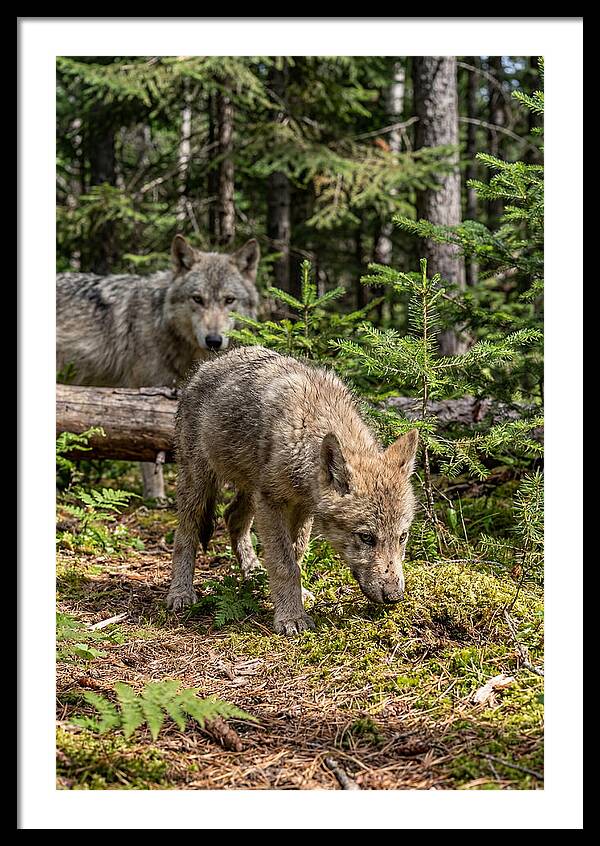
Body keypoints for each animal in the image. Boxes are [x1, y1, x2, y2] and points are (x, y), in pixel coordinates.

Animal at [56, 235, 260, 498]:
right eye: (197, 299)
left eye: (229, 300)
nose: (214, 340)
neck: (162, 324)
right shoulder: (144, 397)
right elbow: (148, 453)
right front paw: (156, 498)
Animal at [167, 346, 419, 635]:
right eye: (366, 537)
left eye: (402, 537)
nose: (394, 596)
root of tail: (206, 366)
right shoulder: (272, 503)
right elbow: (284, 563)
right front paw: (290, 617)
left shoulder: (302, 508)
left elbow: (296, 556)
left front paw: (295, 597)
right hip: (199, 484)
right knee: (185, 534)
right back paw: (180, 593)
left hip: (251, 491)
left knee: (232, 516)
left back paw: (253, 573)